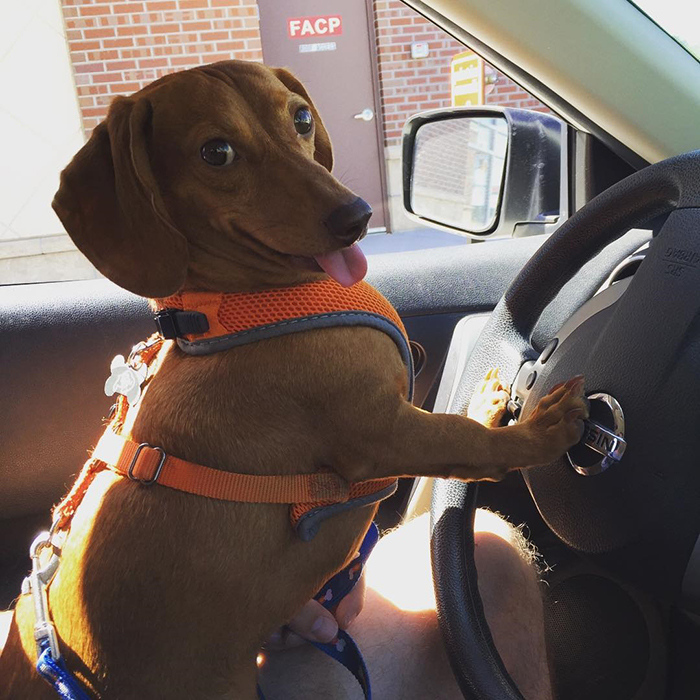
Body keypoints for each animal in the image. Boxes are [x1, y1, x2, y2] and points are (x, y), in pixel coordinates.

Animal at [0, 63, 584, 696]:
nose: (356, 217)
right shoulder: (383, 434)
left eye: (301, 117)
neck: (234, 308)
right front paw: (543, 433)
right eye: (216, 152)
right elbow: (468, 442)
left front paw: (488, 398)